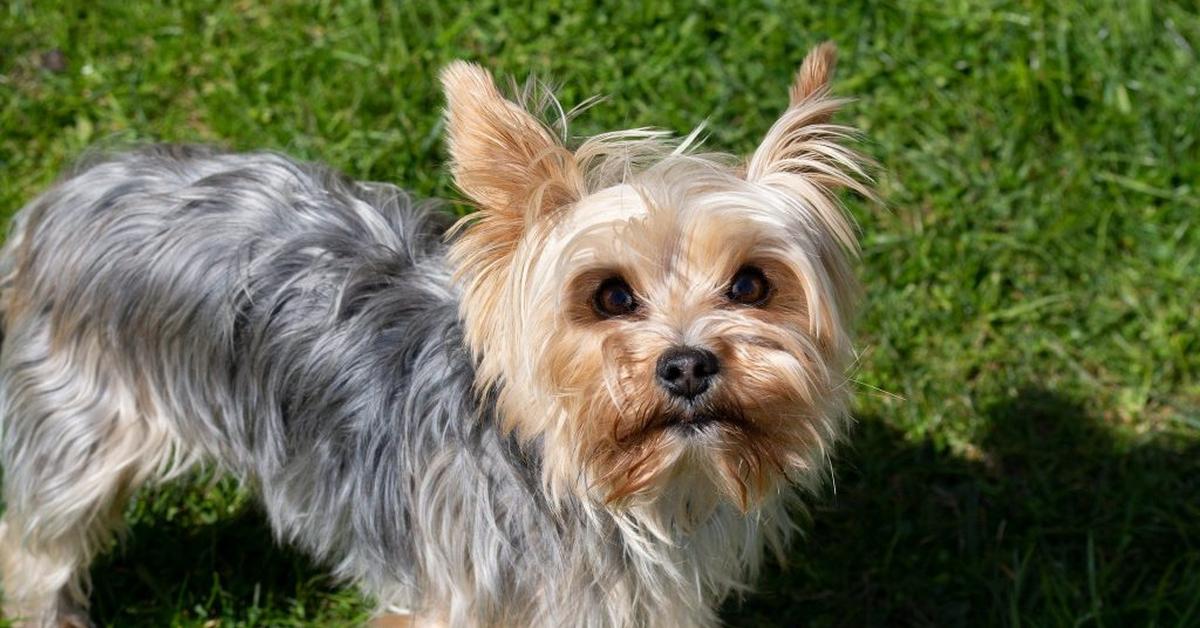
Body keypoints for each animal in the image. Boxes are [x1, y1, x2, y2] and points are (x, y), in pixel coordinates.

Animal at [0, 41, 868, 624]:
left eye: (752, 284)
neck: (601, 491)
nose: (688, 365)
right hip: (78, 428)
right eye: (609, 296)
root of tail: (71, 189)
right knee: (38, 547)